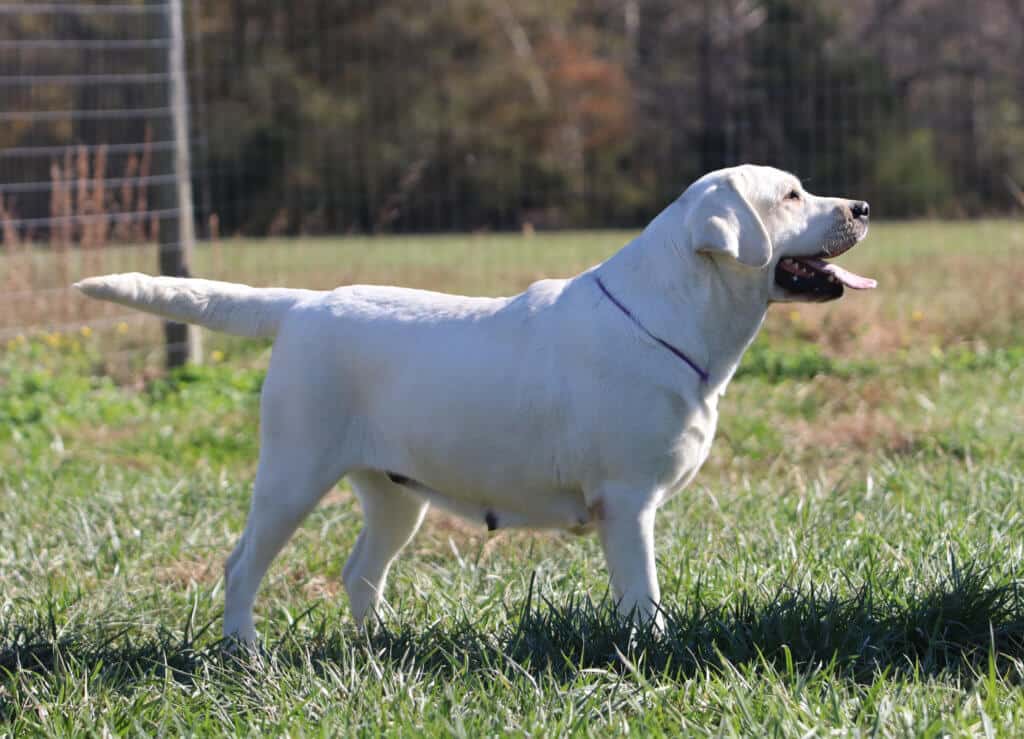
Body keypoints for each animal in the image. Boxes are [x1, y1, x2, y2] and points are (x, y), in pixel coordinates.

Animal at [75, 163, 872, 642]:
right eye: (791, 196)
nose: (863, 205)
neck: (670, 312)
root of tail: (301, 304)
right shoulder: (626, 502)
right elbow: (642, 596)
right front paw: (655, 651)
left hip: (396, 495)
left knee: (360, 572)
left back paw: (379, 647)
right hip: (292, 474)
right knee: (242, 565)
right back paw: (246, 652)